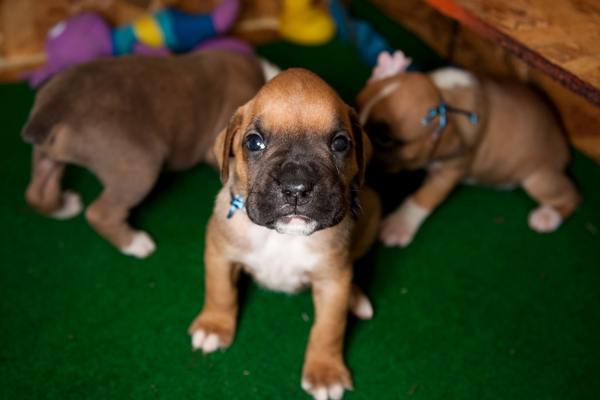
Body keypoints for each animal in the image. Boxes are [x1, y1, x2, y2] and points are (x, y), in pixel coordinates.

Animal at [21, 50, 264, 258]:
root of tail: (57, 107)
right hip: (139, 168)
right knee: (100, 213)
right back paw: (135, 243)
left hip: (46, 155)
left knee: (37, 191)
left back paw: (63, 207)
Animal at [190, 69, 382, 400]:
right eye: (253, 142)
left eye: (341, 143)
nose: (296, 187)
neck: (282, 236)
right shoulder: (219, 254)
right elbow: (220, 291)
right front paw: (214, 326)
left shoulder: (333, 281)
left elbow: (329, 328)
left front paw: (325, 371)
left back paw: (355, 297)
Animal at [356, 50, 580, 247]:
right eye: (356, 110)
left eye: (384, 139)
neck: (443, 97)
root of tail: (562, 143)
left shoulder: (449, 171)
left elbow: (424, 197)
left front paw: (398, 225)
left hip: (539, 178)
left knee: (572, 196)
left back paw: (548, 216)